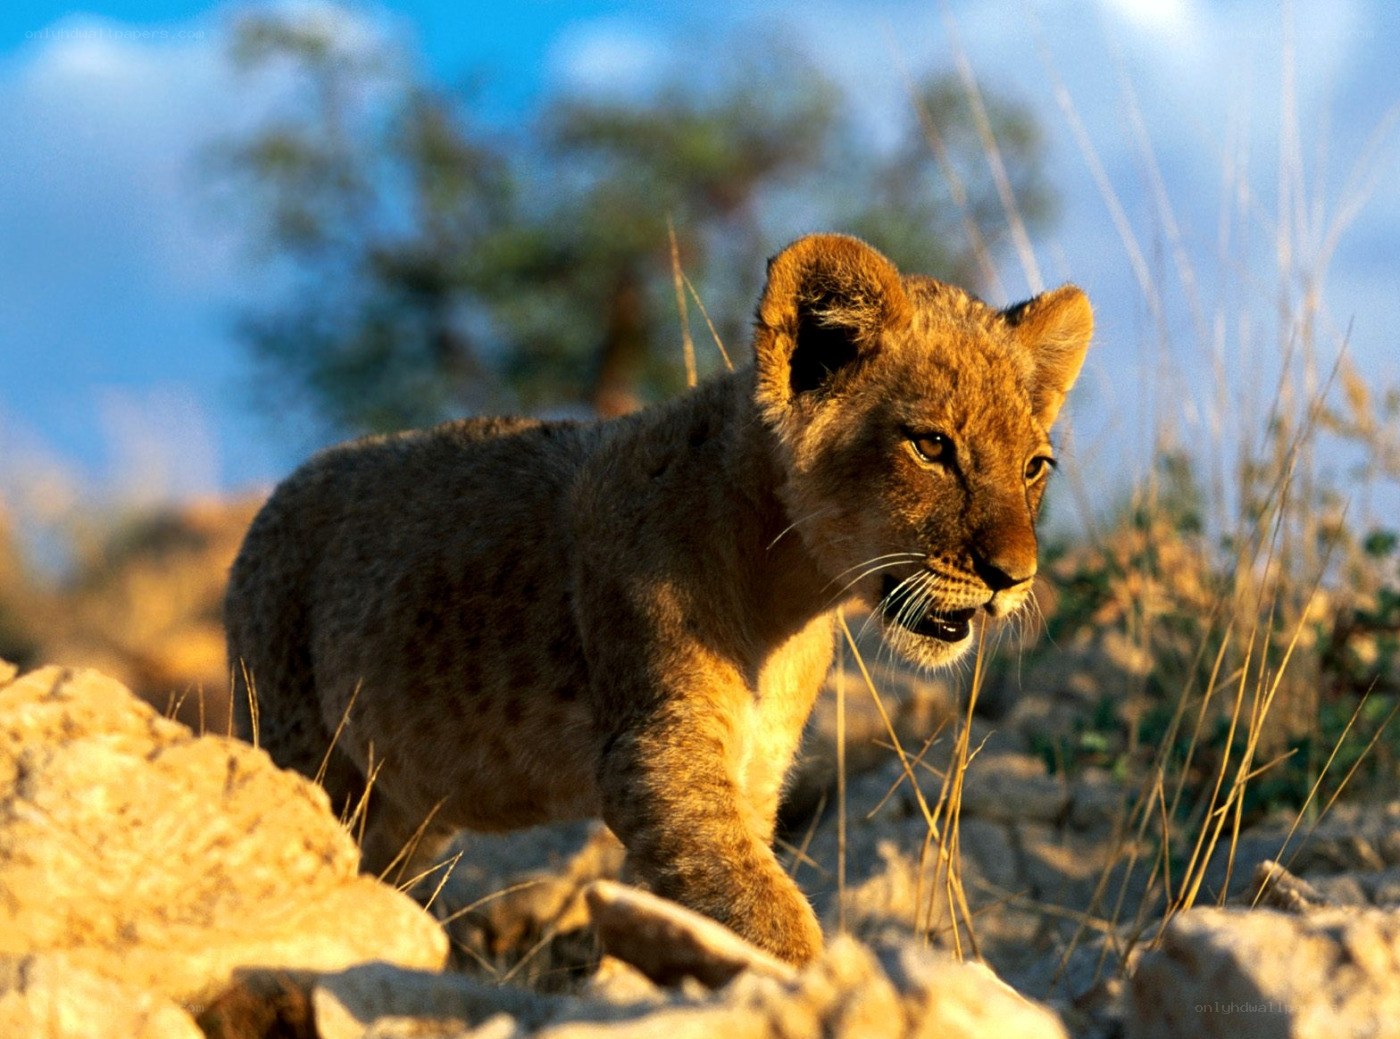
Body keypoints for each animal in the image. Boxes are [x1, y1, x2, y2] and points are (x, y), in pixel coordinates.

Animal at [225, 233, 1092, 965]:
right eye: (933, 446)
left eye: (1035, 466)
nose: (1014, 576)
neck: (790, 596)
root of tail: (273, 500)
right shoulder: (655, 752)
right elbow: (763, 908)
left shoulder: (755, 768)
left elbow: (730, 889)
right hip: (301, 743)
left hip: (402, 806)